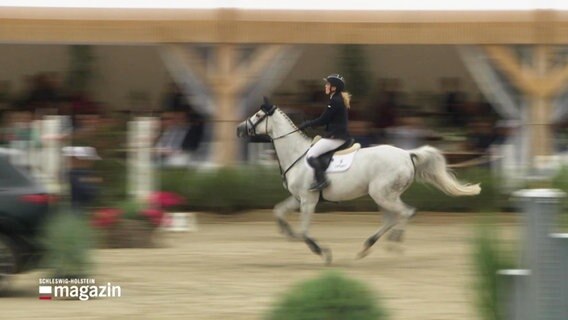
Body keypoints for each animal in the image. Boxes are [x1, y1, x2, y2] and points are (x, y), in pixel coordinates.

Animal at [235, 99, 480, 262]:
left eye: (257, 116)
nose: (238, 129)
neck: (297, 154)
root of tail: (407, 154)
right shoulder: (298, 198)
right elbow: (278, 211)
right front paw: (286, 231)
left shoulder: (308, 200)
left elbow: (304, 231)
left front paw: (321, 251)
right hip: (384, 196)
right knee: (391, 218)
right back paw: (367, 247)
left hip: (383, 194)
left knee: (405, 213)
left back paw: (395, 242)